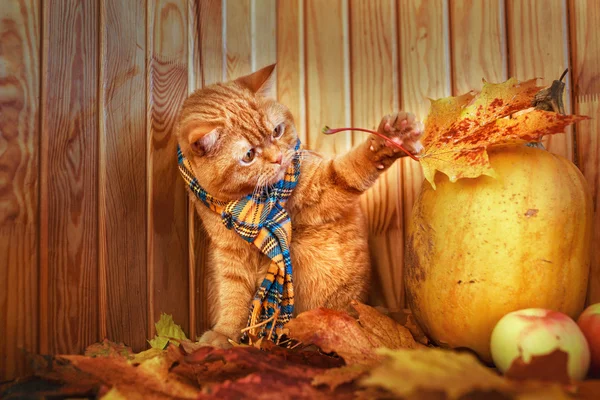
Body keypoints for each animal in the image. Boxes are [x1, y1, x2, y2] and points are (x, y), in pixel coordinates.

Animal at [176, 62, 424, 346]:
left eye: (277, 131)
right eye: (249, 155)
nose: (279, 158)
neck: (255, 207)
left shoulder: (322, 186)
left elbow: (351, 168)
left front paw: (387, 142)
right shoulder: (228, 253)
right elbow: (233, 296)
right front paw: (225, 334)